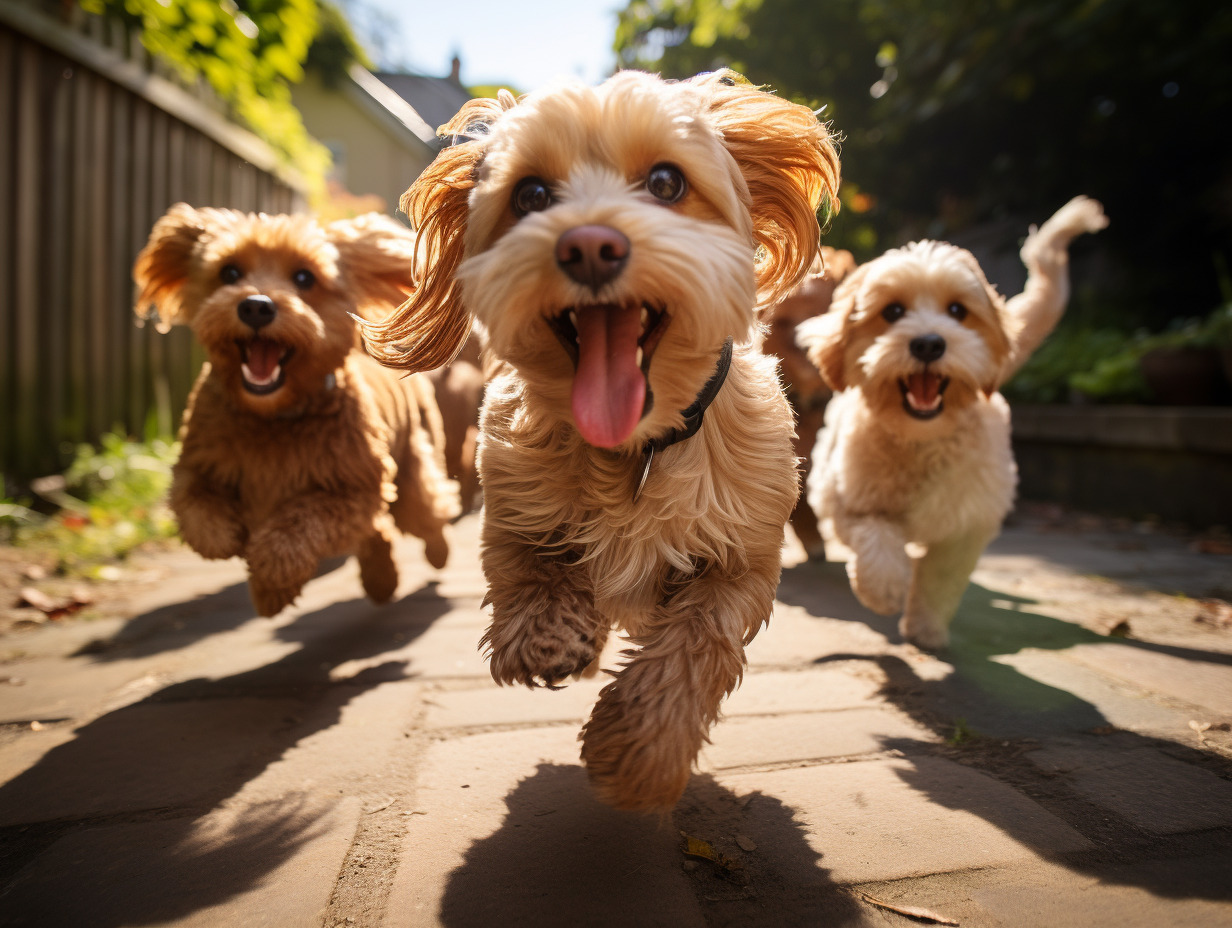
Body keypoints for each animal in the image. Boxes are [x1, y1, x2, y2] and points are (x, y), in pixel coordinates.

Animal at [134, 205, 460, 618]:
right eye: (229, 272)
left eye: (304, 277)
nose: (256, 306)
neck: (272, 418)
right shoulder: (197, 466)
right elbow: (200, 516)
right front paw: (233, 543)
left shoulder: (353, 490)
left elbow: (295, 527)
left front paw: (273, 583)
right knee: (378, 532)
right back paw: (381, 580)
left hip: (412, 472)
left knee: (427, 515)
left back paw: (437, 554)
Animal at [359, 70, 837, 808]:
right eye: (530, 195)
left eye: (666, 182)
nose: (588, 244)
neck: (634, 449)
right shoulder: (514, 507)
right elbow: (533, 572)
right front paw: (548, 640)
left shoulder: (740, 560)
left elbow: (695, 646)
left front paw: (638, 755)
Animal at [798, 195, 1108, 645]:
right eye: (892, 311)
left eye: (958, 311)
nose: (928, 344)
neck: (922, 440)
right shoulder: (844, 500)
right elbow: (877, 538)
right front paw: (886, 589)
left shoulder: (967, 525)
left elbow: (940, 577)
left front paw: (925, 628)